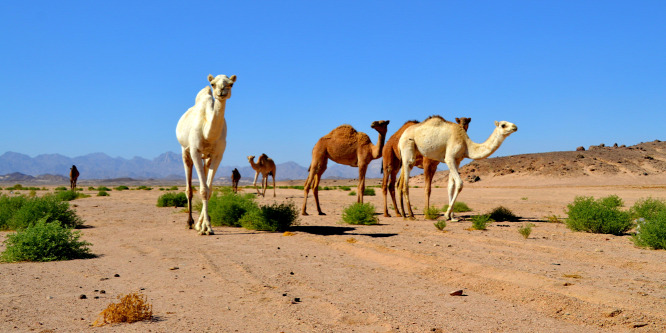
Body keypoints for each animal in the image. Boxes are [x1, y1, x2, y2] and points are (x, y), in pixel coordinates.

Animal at [176, 73, 236, 233]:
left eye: (231, 84)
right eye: (213, 84)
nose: (222, 91)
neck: (207, 132)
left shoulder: (218, 155)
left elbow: (209, 190)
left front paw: (206, 226)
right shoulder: (195, 151)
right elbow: (203, 190)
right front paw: (205, 227)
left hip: (206, 158)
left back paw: (197, 224)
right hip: (185, 151)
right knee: (189, 189)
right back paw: (190, 222)